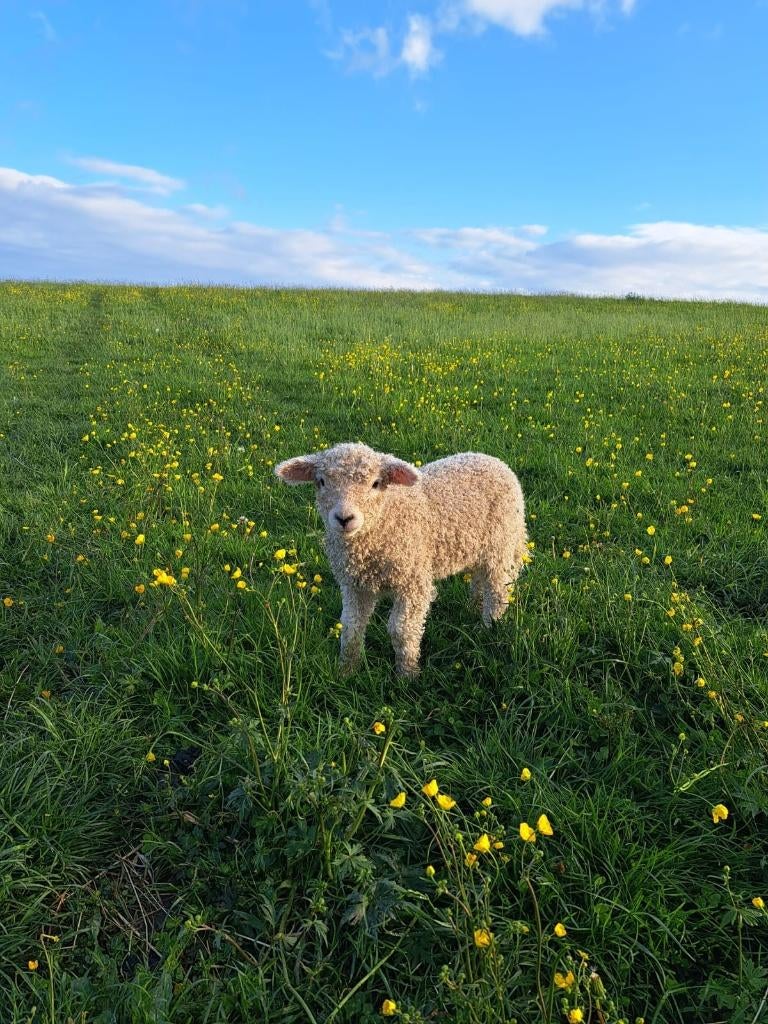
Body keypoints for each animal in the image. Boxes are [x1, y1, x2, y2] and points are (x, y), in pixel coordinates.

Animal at [275, 442, 527, 677]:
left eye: (375, 483)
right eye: (321, 481)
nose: (344, 518)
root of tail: (492, 460)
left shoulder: (413, 582)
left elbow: (401, 630)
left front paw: (407, 675)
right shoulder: (355, 586)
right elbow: (351, 626)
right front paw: (347, 670)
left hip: (501, 543)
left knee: (497, 591)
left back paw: (488, 628)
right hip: (477, 547)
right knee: (479, 578)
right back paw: (473, 607)